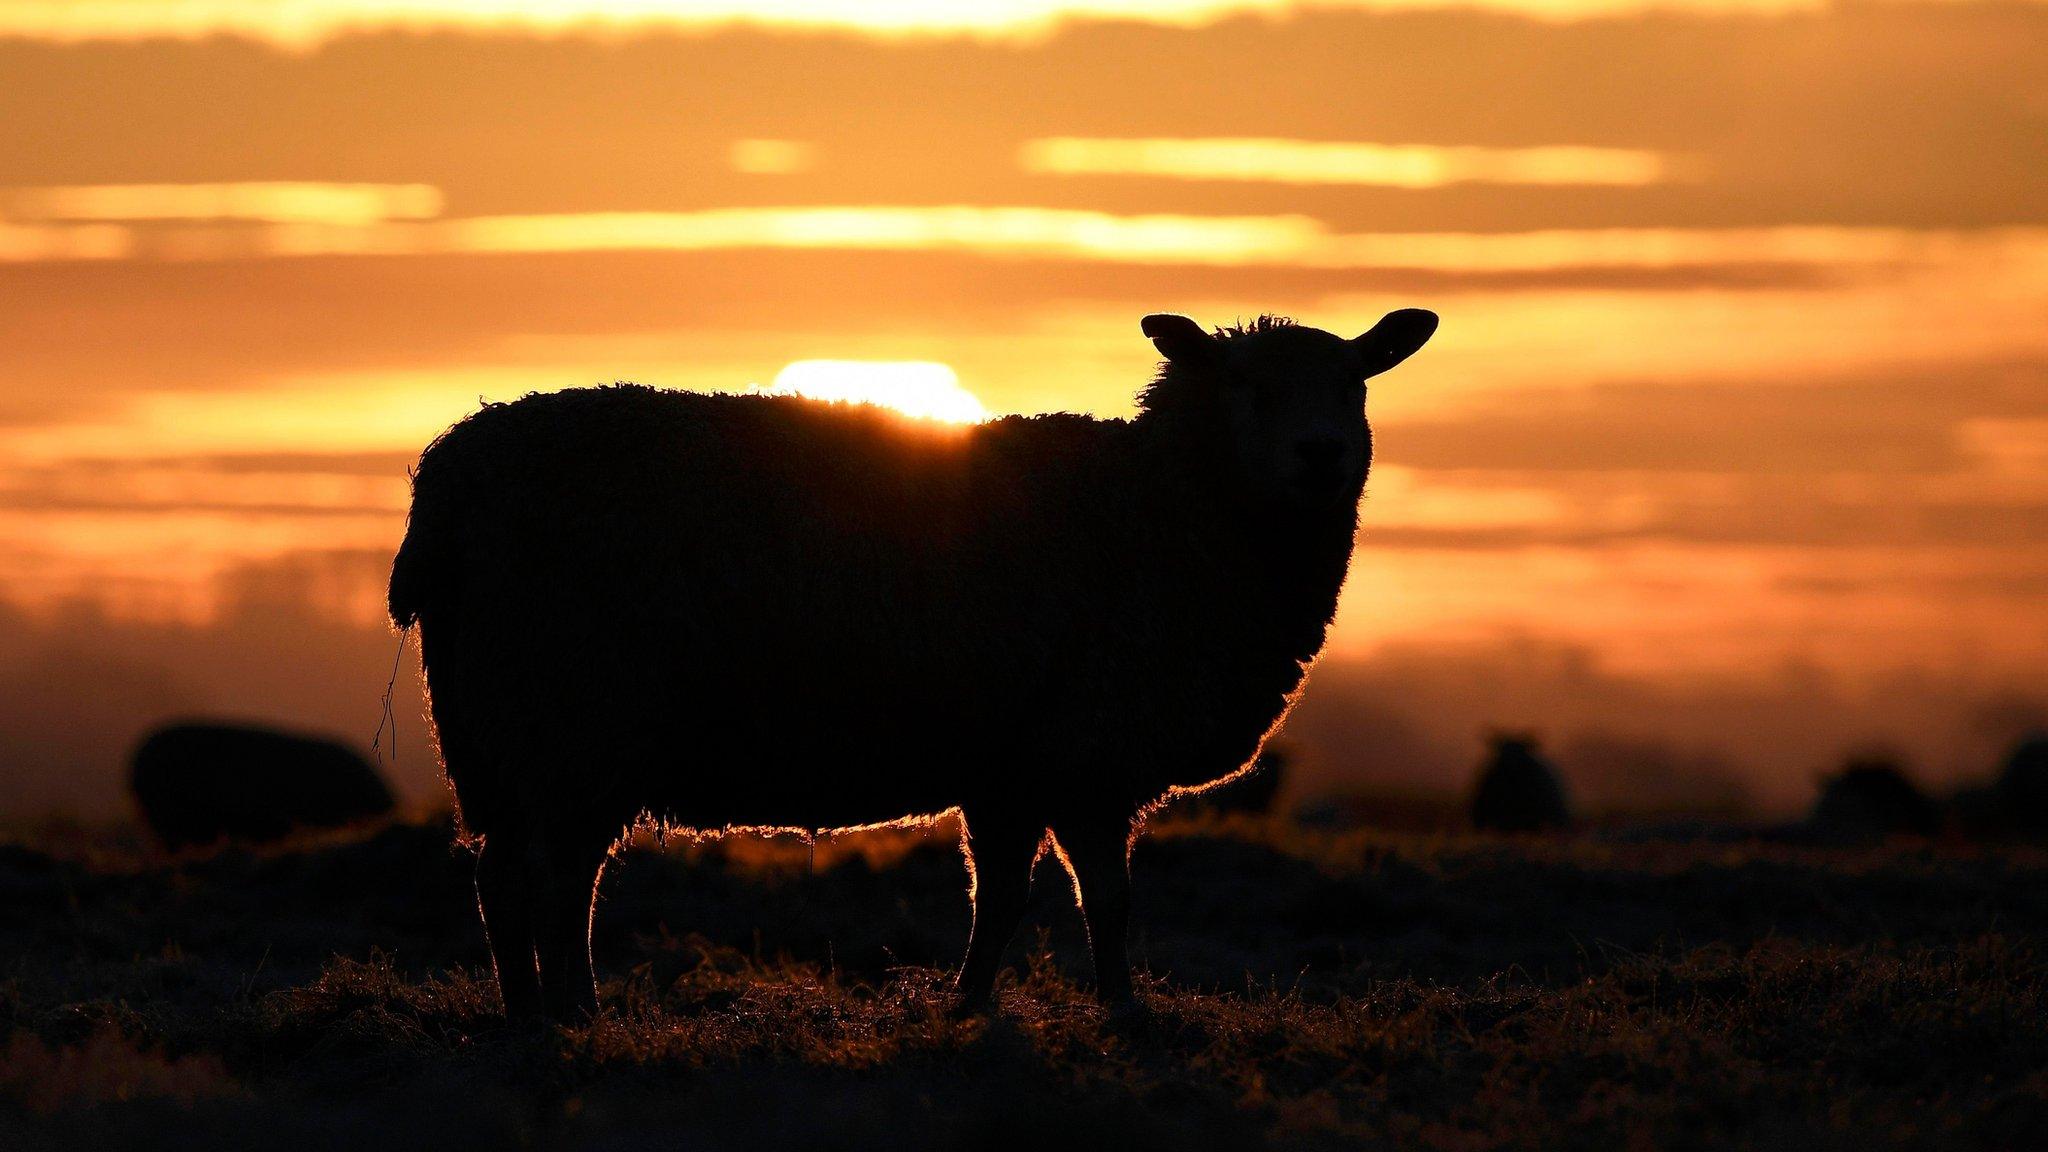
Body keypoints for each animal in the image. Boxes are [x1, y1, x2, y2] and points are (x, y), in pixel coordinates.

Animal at [387, 305, 1441, 1012]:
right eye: (1243, 385)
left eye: (1356, 382)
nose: (1321, 453)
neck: (1166, 506)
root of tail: (444, 478)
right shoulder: (1090, 750)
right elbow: (1106, 897)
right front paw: (1122, 1010)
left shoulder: (1015, 764)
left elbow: (1003, 895)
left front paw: (967, 1007)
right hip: (567, 718)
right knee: (555, 881)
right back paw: (574, 1014)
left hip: (500, 734)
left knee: (504, 878)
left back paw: (528, 1015)